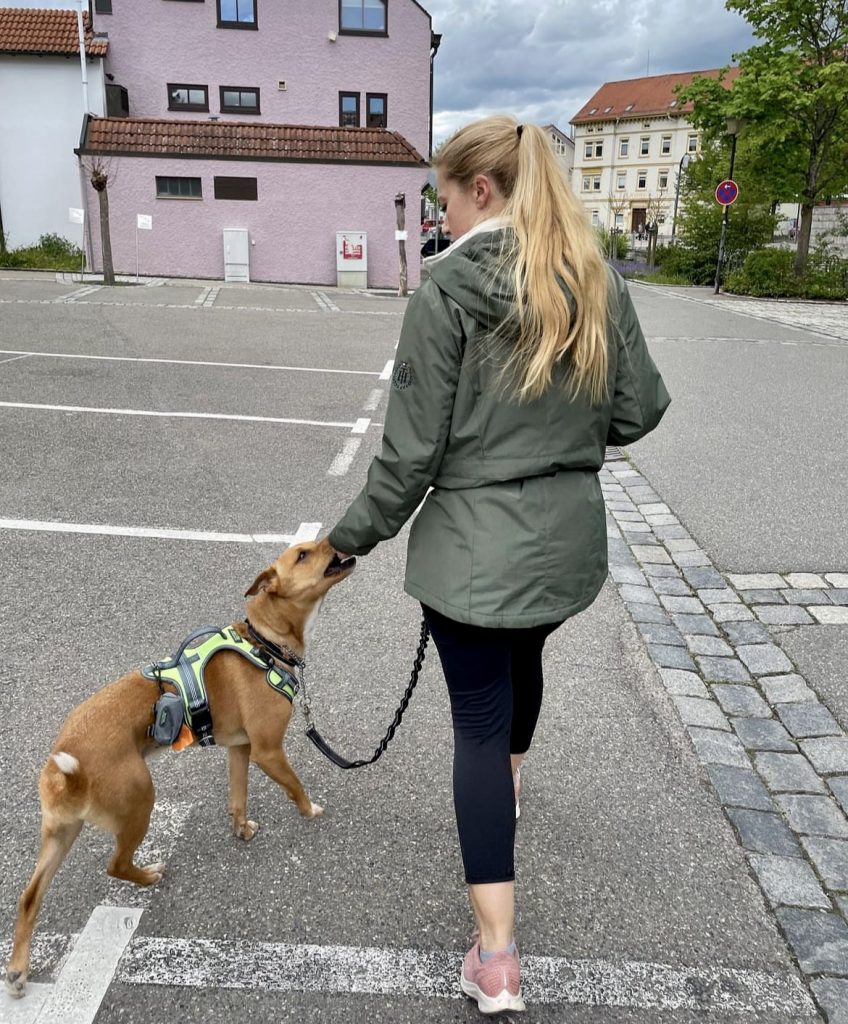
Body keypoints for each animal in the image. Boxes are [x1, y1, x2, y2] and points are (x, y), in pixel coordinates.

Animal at [4, 540, 354, 995]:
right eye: (302, 555)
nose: (336, 539)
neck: (264, 643)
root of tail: (60, 766)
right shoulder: (267, 750)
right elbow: (295, 785)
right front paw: (309, 810)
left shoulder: (240, 750)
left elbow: (238, 797)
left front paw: (241, 829)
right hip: (140, 802)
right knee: (115, 865)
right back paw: (150, 874)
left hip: (62, 834)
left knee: (29, 897)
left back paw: (17, 968)